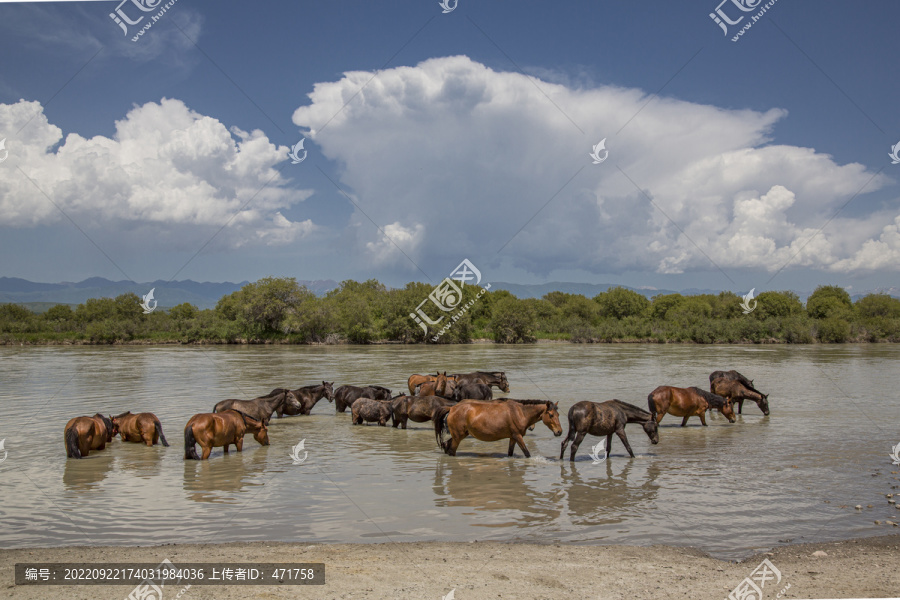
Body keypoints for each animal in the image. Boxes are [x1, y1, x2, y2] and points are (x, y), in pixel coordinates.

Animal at [436, 400, 564, 458]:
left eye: (558, 414)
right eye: (551, 415)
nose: (559, 431)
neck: (520, 413)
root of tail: (452, 408)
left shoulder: (513, 437)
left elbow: (510, 453)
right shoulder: (518, 436)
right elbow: (527, 453)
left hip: (459, 435)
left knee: (447, 445)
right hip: (458, 437)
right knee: (451, 450)